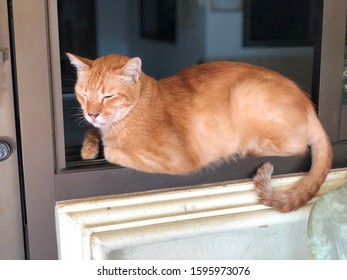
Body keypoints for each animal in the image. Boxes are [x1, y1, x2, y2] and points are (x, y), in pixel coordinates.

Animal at [66, 53, 334, 212]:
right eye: (84, 94)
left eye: (108, 96)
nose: (91, 113)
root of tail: (312, 110)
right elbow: (94, 133)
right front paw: (89, 146)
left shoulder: (173, 159)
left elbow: (113, 150)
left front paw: (103, 143)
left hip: (246, 93)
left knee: (297, 147)